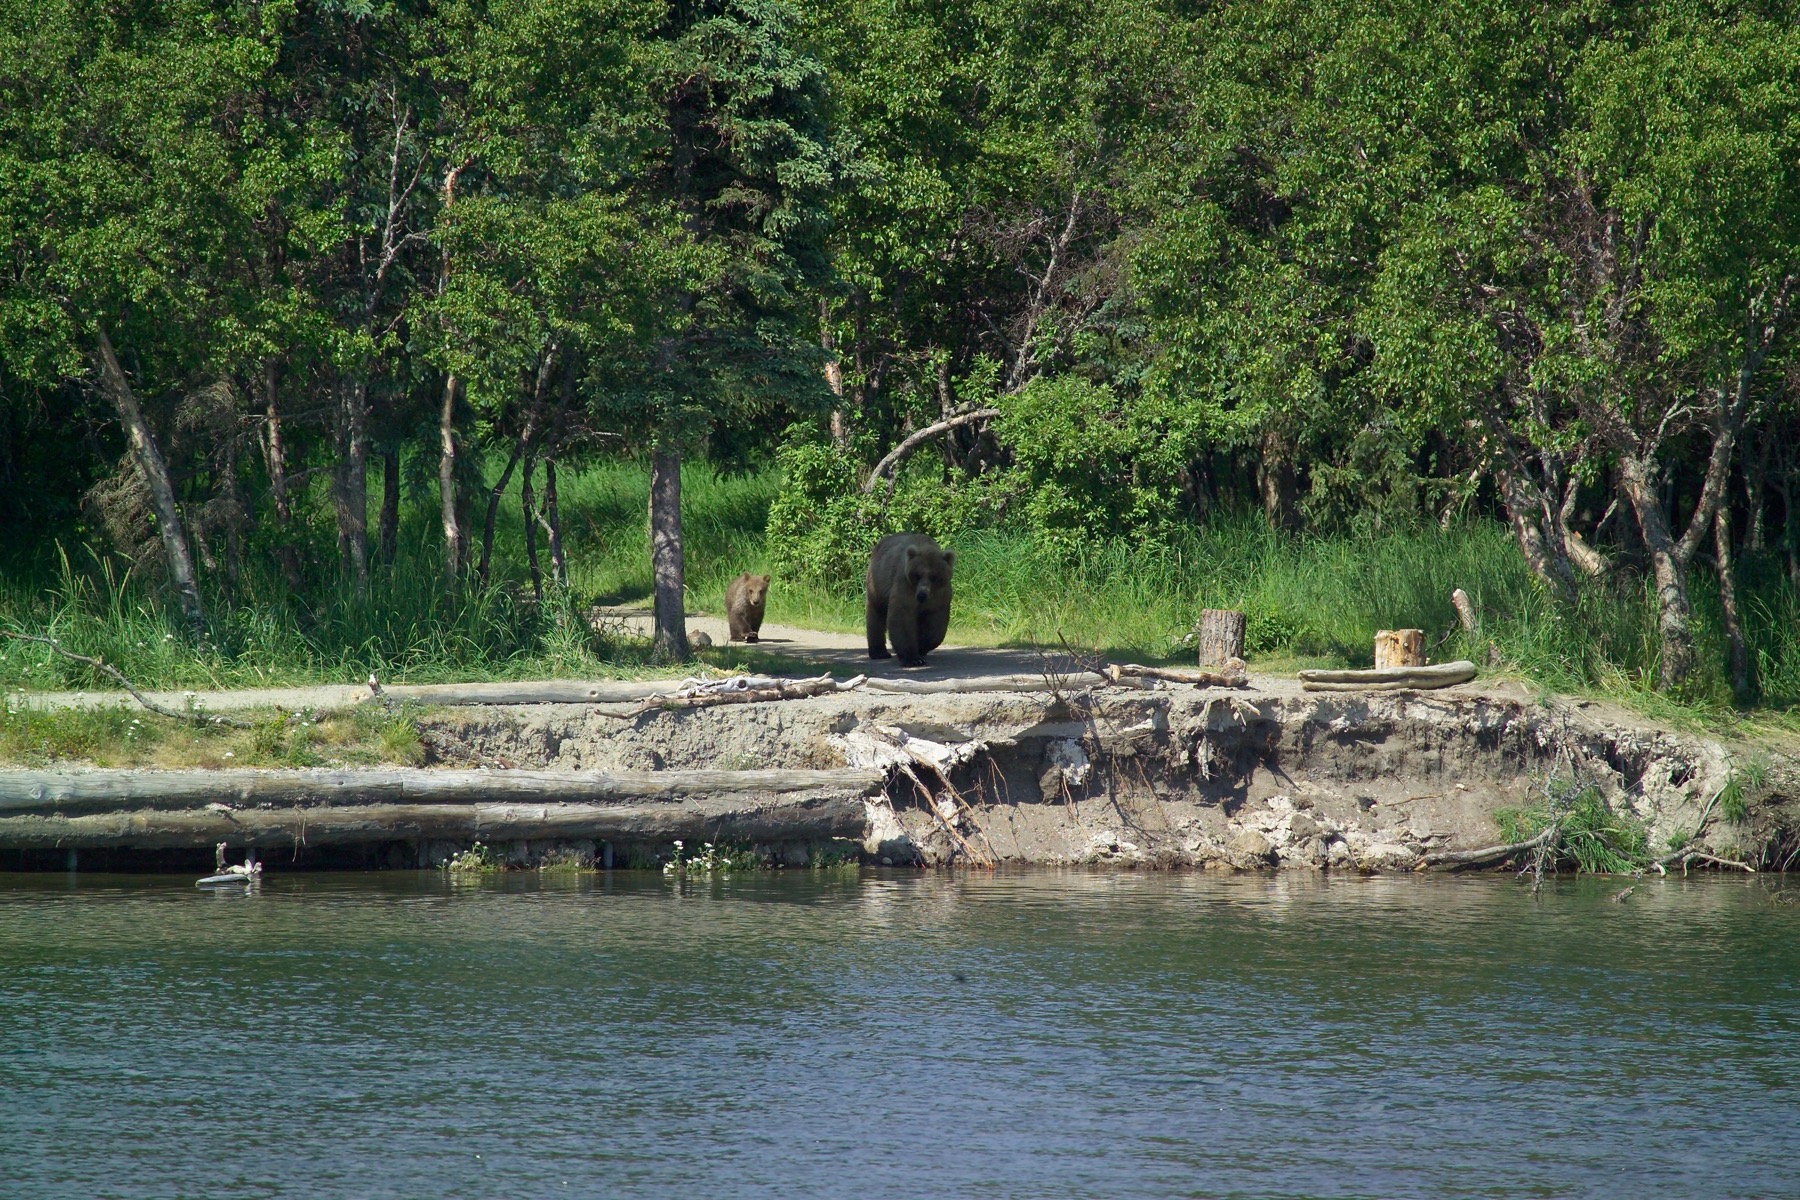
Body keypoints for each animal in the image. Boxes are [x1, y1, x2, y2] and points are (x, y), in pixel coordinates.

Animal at [865, 533, 954, 667]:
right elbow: (902, 616)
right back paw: (879, 653)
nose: (922, 594)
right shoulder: (905, 586)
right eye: (917, 575)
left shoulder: (940, 596)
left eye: (934, 577)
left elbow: (935, 623)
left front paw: (922, 647)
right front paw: (913, 659)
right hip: (877, 582)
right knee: (876, 614)